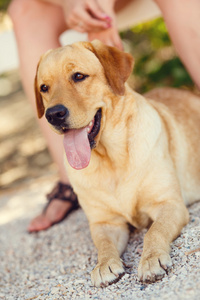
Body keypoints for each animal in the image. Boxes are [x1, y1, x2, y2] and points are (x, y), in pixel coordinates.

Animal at [34, 39, 200, 286]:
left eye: (78, 76)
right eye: (44, 88)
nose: (53, 114)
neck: (111, 159)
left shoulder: (169, 204)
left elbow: (154, 231)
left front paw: (151, 259)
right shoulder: (106, 223)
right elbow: (103, 246)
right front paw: (104, 265)